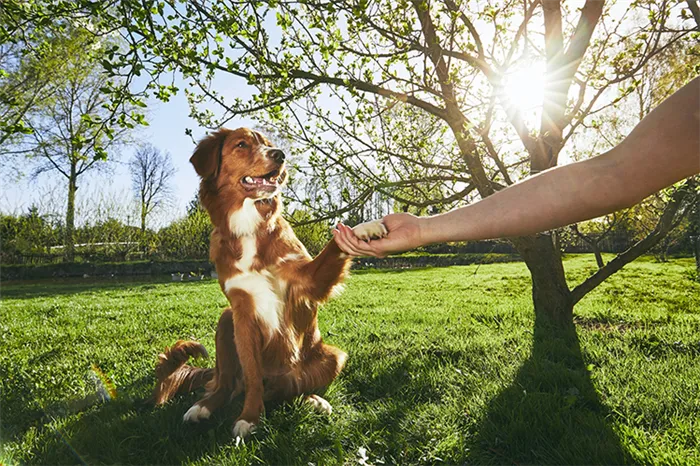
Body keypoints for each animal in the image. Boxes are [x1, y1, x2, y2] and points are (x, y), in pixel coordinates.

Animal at [151, 127, 388, 440]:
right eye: (241, 144)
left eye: (268, 144)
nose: (280, 155)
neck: (249, 226)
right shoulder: (242, 312)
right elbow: (252, 377)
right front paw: (250, 417)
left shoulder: (308, 281)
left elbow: (335, 243)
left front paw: (364, 228)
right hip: (226, 321)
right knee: (226, 384)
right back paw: (202, 407)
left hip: (332, 357)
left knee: (291, 390)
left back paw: (314, 400)